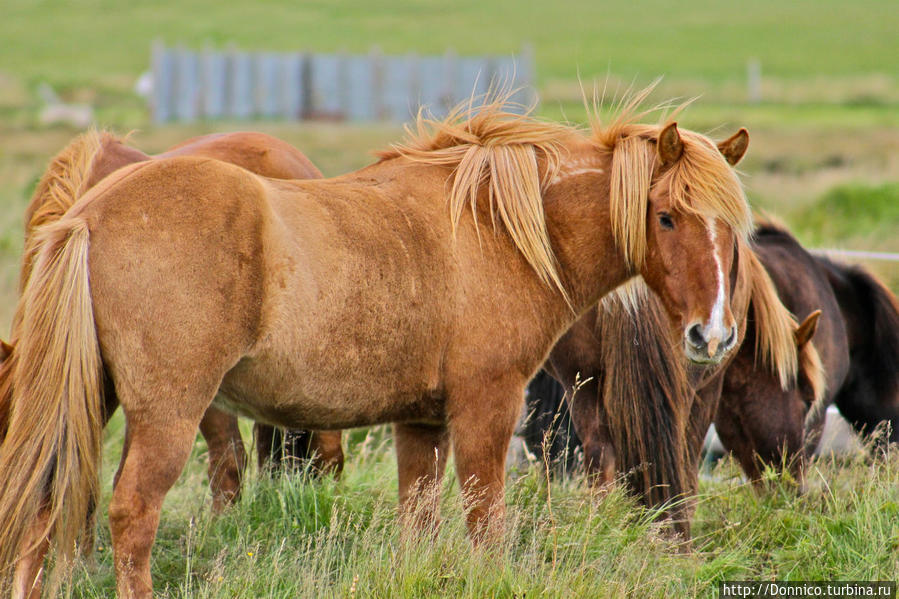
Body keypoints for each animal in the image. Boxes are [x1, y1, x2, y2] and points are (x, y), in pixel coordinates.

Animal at [3, 98, 756, 599]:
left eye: (733, 228)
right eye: (666, 216)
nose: (712, 336)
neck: (495, 228)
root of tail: (87, 215)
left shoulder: (420, 423)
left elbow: (418, 519)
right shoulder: (486, 410)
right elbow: (485, 520)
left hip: (91, 401)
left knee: (42, 506)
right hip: (166, 415)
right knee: (131, 515)